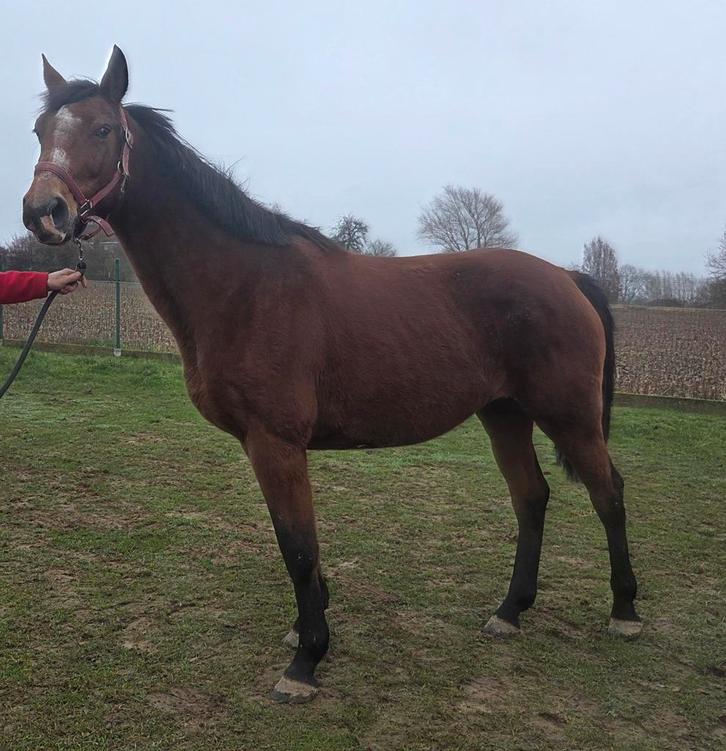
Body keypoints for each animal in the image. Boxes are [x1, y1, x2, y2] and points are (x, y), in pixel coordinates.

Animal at [22, 47, 641, 703]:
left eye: (102, 129)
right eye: (39, 130)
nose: (44, 212)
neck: (244, 284)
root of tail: (566, 277)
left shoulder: (277, 442)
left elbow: (297, 546)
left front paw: (305, 663)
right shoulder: (267, 446)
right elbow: (297, 545)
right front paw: (306, 631)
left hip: (569, 416)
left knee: (608, 494)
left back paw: (625, 612)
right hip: (505, 414)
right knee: (531, 497)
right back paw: (510, 610)